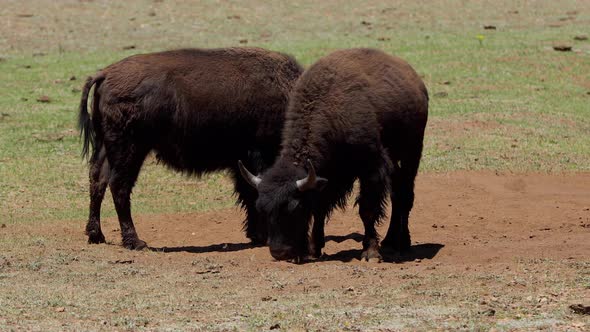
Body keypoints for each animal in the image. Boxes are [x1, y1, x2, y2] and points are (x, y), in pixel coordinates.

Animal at [79, 46, 306, 249]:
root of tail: (105, 74)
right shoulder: (257, 156)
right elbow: (253, 192)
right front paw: (262, 235)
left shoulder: (242, 162)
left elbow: (248, 194)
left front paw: (256, 235)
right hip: (130, 149)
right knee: (119, 186)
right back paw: (135, 242)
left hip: (106, 147)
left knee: (97, 180)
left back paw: (96, 235)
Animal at [240, 48, 430, 262]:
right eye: (261, 208)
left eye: (294, 207)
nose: (279, 252)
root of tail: (416, 82)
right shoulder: (326, 177)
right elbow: (319, 209)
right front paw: (314, 249)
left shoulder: (372, 169)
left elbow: (367, 209)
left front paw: (370, 252)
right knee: (397, 194)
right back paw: (389, 241)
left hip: (411, 153)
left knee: (404, 196)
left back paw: (402, 243)